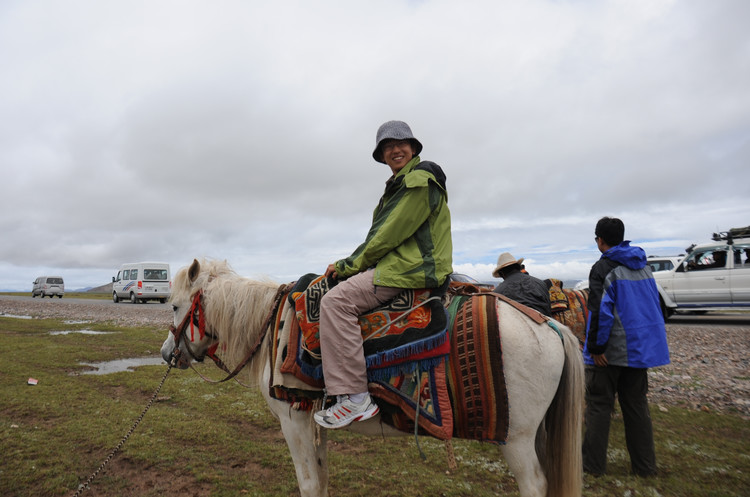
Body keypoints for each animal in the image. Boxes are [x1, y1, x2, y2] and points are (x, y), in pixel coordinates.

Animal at [162, 260, 588, 496]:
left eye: (177, 305)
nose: (168, 353)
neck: (273, 326)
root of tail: (549, 325)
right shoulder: (314, 422)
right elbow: (323, 478)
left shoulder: (293, 419)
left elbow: (309, 483)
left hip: (516, 440)